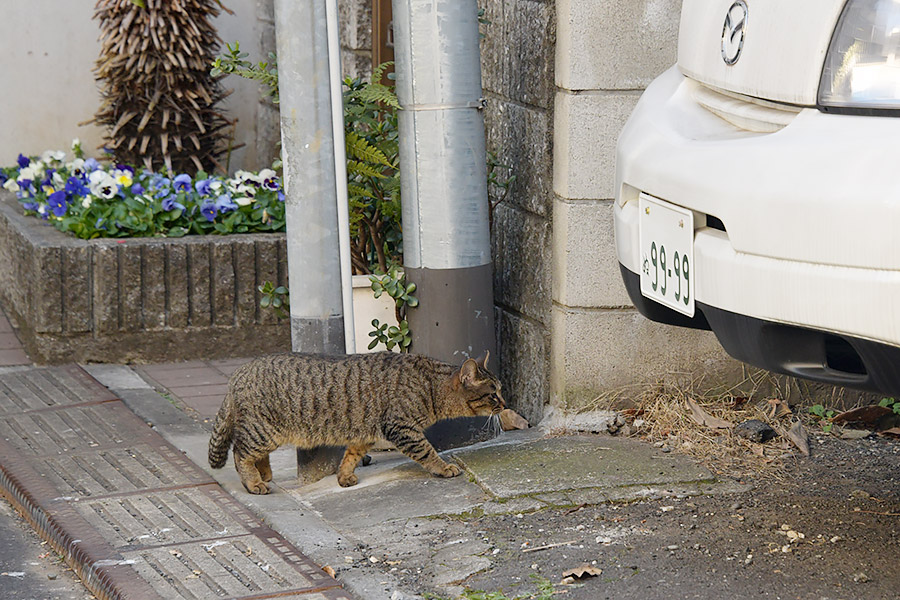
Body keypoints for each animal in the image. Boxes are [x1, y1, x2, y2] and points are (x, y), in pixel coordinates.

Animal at [210, 350, 506, 494]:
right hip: (263, 430)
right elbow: (427, 451)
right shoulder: (402, 428)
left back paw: (264, 473)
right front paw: (443, 468)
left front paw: (344, 476)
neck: (431, 385)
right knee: (240, 452)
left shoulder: (365, 434)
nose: (505, 404)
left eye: (501, 390)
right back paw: (253, 482)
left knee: (253, 453)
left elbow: (350, 457)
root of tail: (239, 372)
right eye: (493, 393)